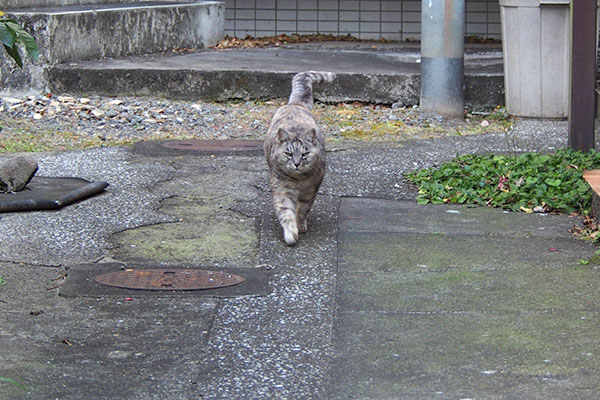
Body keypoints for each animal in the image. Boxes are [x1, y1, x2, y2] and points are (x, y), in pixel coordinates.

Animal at [264, 72, 336, 247]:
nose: (296, 164)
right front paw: (291, 233)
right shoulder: (282, 189)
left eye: (305, 154)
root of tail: (295, 103)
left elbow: (303, 209)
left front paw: (300, 225)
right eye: (288, 154)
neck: (299, 181)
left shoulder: (311, 190)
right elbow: (286, 212)